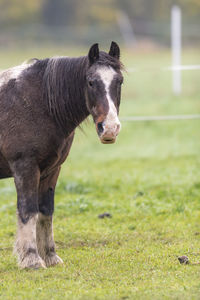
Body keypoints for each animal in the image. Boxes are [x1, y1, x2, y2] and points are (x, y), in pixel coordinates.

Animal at [0, 41, 123, 268]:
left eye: (119, 81)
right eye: (91, 82)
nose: (110, 129)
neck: (37, 103)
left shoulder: (51, 170)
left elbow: (46, 211)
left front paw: (50, 256)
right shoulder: (25, 167)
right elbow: (27, 209)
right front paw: (31, 259)